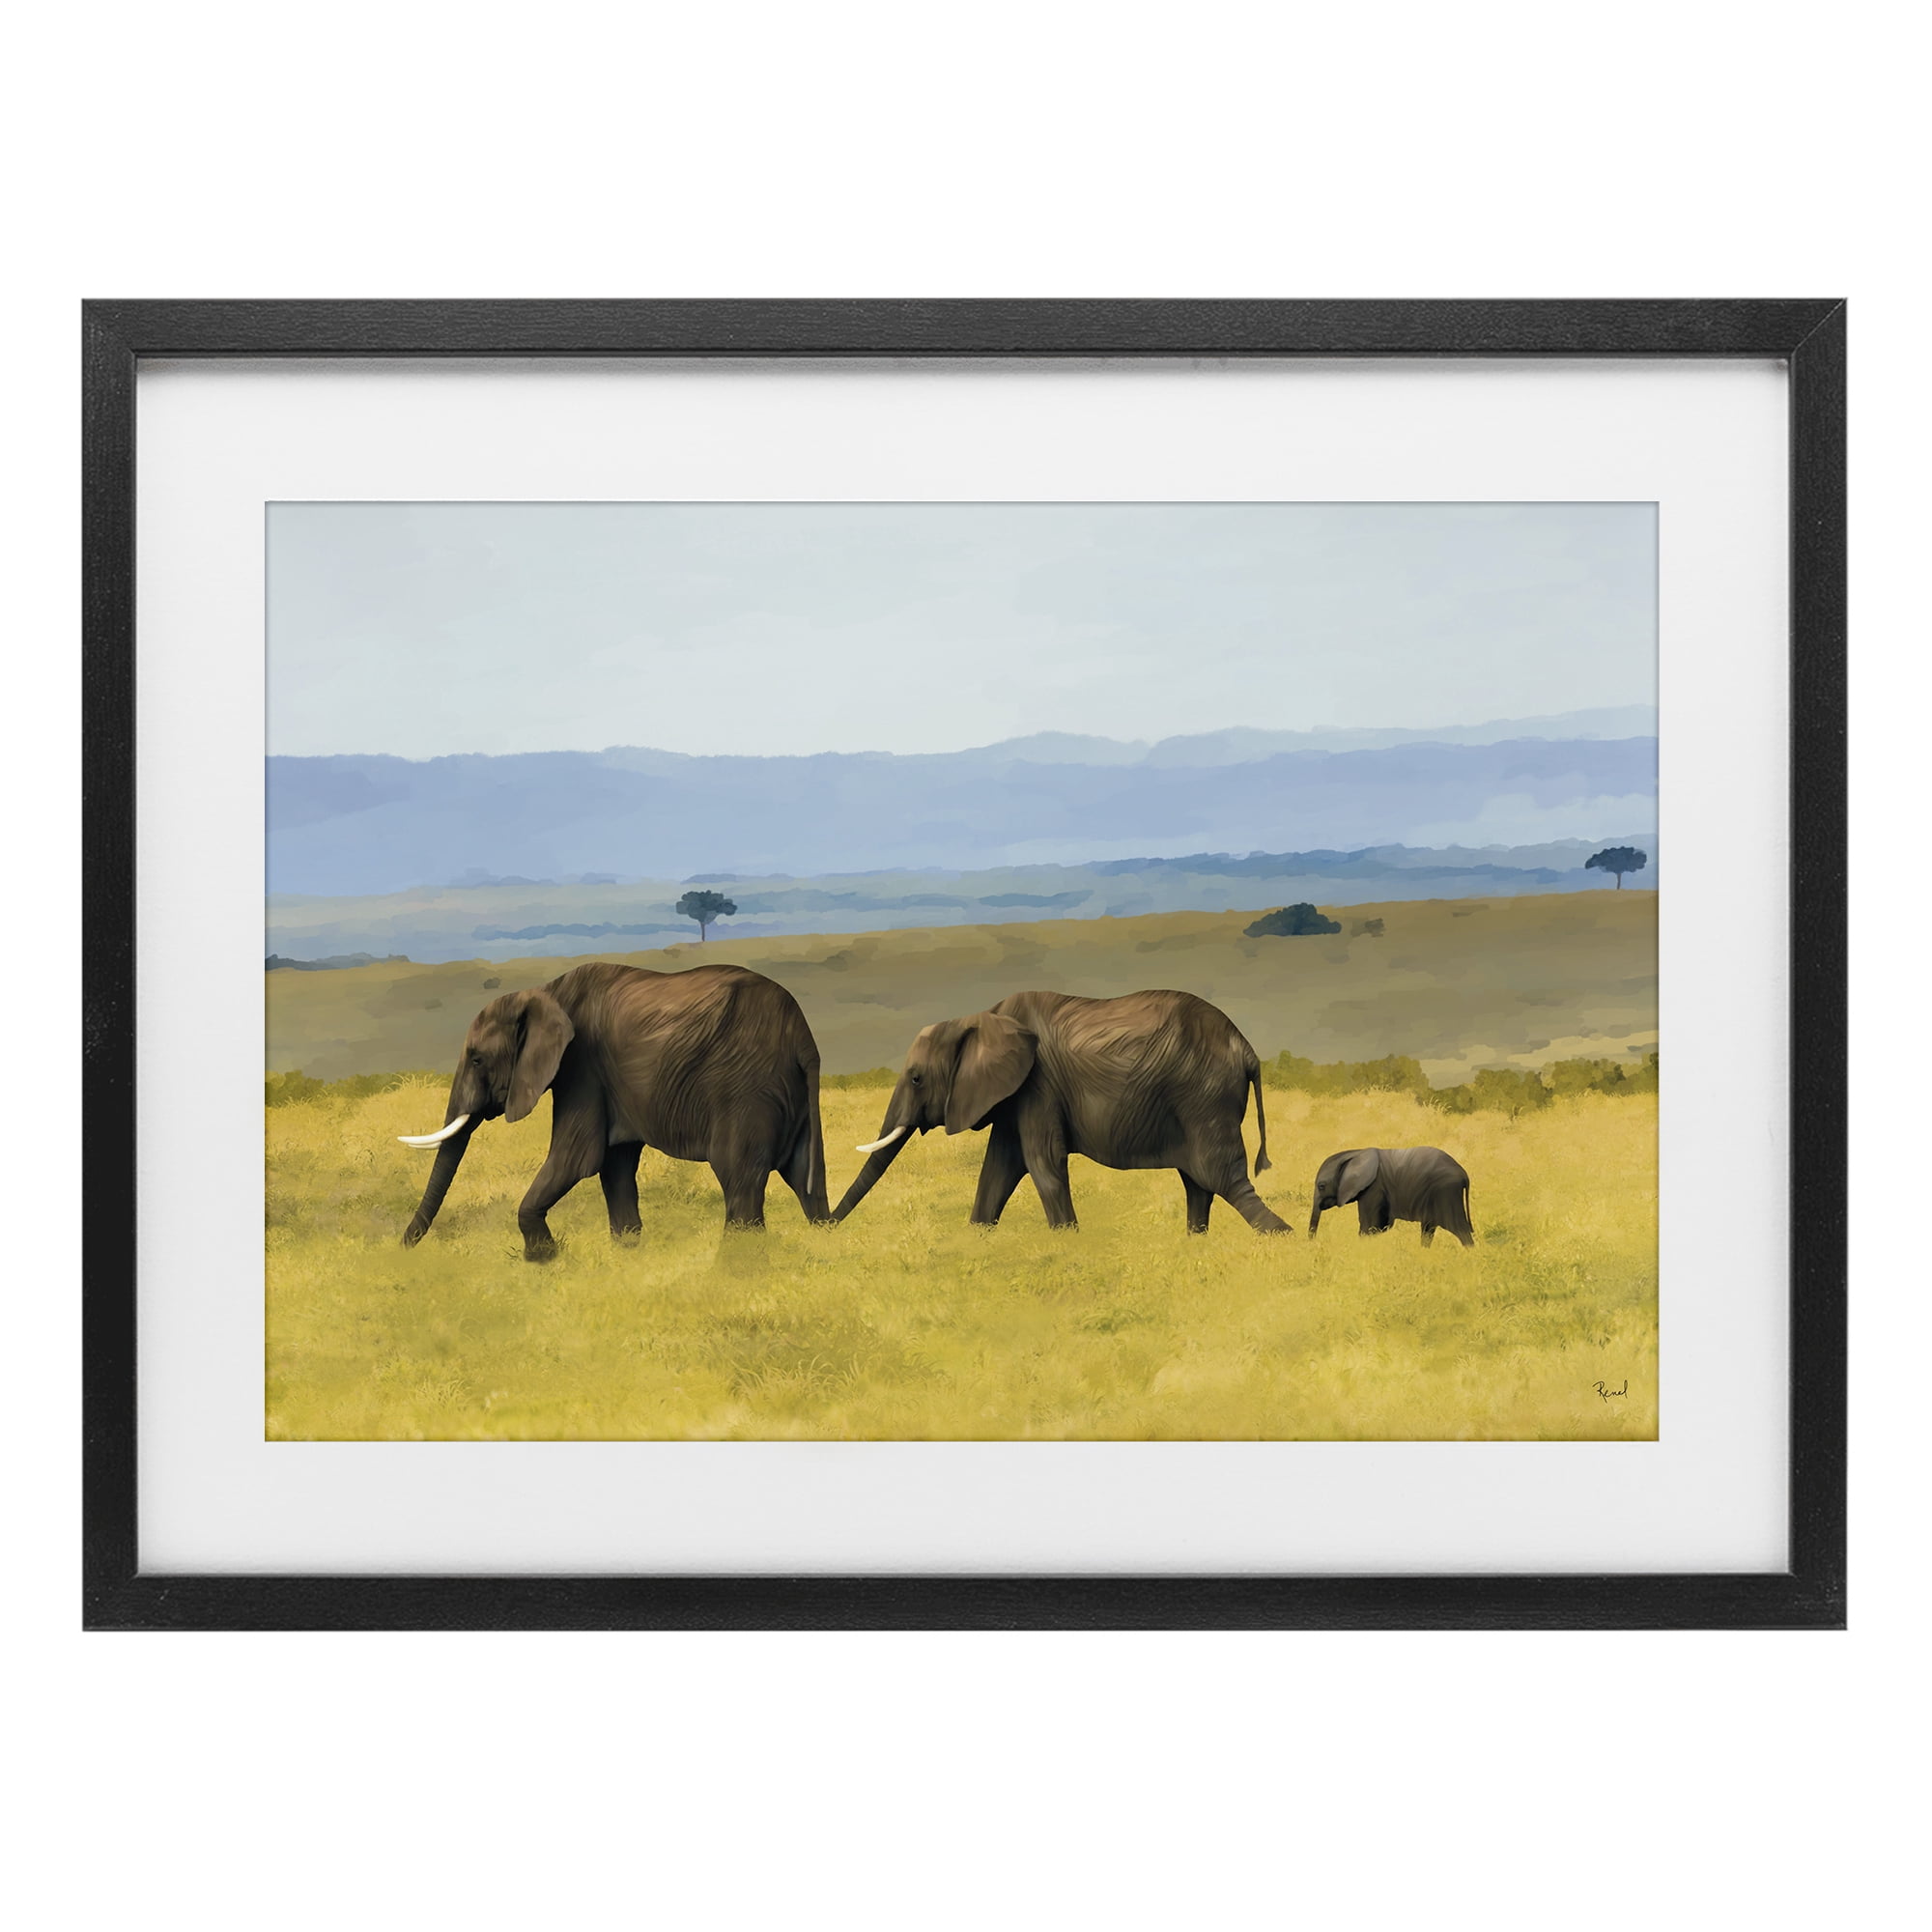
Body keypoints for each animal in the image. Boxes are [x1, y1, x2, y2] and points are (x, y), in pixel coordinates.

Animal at [397, 960, 828, 1260]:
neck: (546, 992)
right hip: (790, 1095)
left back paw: (735, 1267)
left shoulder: (581, 1067)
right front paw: (627, 1256)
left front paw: (543, 1261)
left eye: (476, 1059)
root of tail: (802, 1037)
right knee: (805, 1179)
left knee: (739, 1179)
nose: (401, 1248)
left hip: (744, 1089)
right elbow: (614, 1165)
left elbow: (577, 1158)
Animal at [830, 988, 1287, 1234]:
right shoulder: (1014, 1095)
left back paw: (1282, 1238)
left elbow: (1042, 1162)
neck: (982, 1016)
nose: (825, 1224)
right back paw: (1195, 1242)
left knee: (1221, 1178)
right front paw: (977, 1236)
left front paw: (1069, 1239)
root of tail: (1247, 1050)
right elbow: (997, 1168)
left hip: (1205, 1097)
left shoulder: (1039, 1086)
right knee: (1199, 1184)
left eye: (916, 1079)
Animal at [1307, 1146, 1474, 1247]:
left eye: (1321, 1186)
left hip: (1446, 1191)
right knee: (1428, 1228)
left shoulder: (1374, 1187)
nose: (1313, 1244)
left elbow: (1369, 1226)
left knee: (1459, 1228)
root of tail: (1464, 1174)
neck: (1356, 1153)